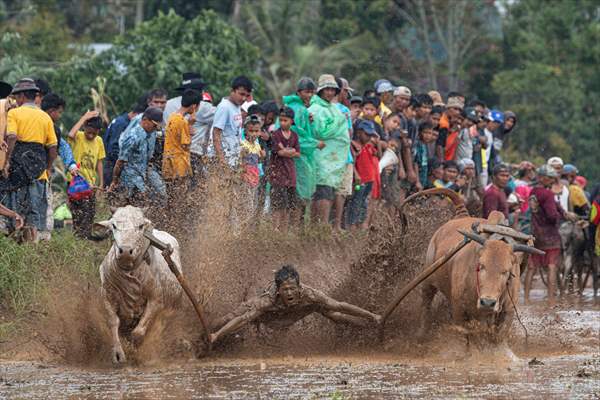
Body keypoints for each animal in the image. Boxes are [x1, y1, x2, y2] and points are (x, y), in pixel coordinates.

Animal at [404, 189, 540, 342]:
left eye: (506, 272)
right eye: (481, 266)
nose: (487, 302)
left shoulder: (508, 313)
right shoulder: (459, 311)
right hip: (428, 279)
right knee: (426, 304)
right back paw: (421, 334)